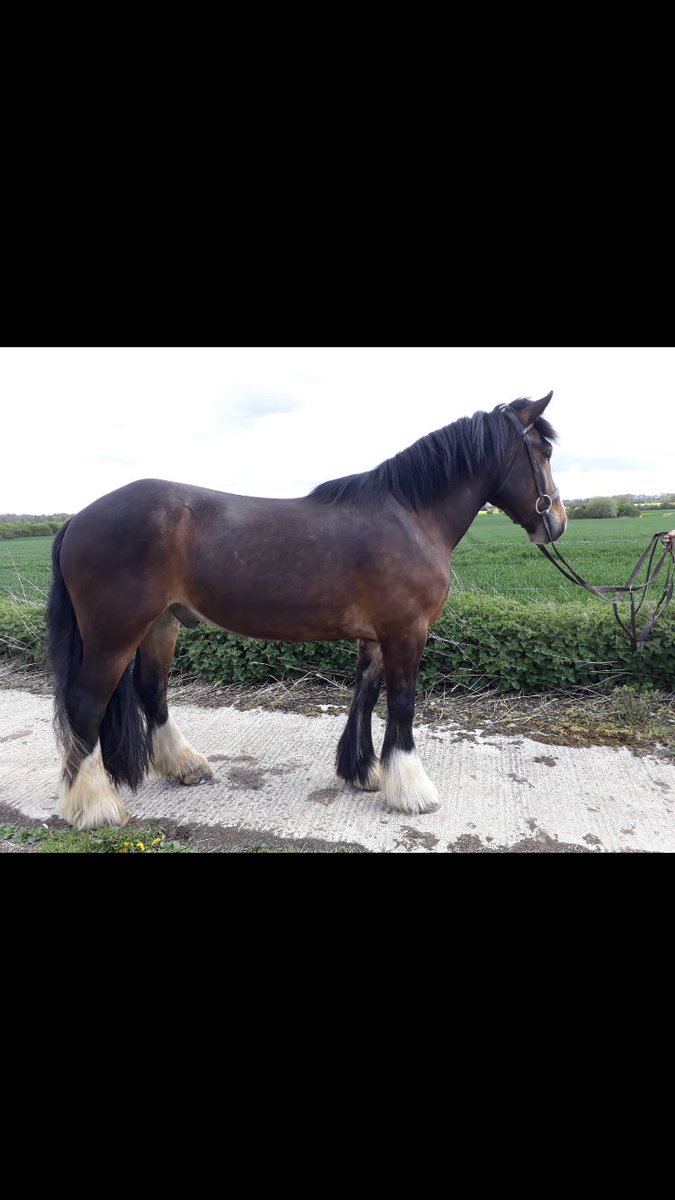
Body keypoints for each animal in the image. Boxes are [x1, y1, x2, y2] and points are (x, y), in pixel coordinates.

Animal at [46, 390, 566, 830]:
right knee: (86, 704)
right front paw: (412, 791)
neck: (410, 516)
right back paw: (95, 807)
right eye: (543, 452)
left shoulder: (375, 637)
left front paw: (363, 773)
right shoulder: (406, 632)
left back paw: (185, 767)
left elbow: (365, 698)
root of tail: (77, 519)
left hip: (162, 623)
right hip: (114, 634)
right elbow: (402, 704)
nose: (557, 522)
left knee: (151, 690)